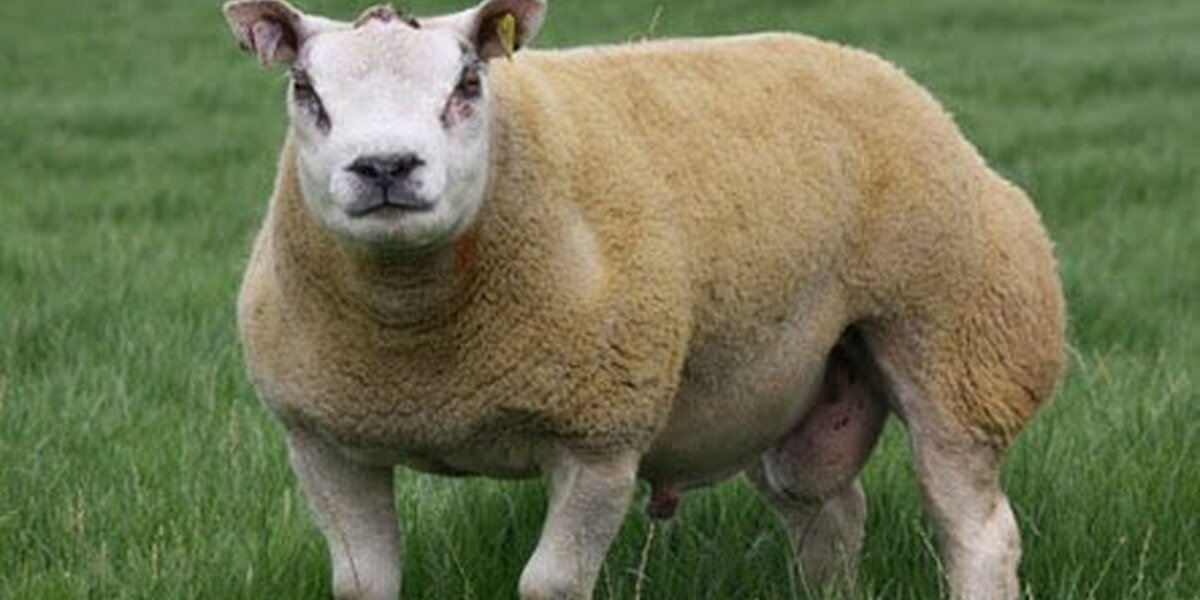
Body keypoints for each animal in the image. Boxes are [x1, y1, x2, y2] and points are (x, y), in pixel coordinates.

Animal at [221, 0, 1066, 598]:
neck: (417, 336)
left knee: (978, 530)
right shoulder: (323, 443)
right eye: (305, 90)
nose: (386, 167)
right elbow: (363, 582)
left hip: (956, 342)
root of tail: (877, 70)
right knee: (827, 515)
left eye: (467, 85)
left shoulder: (599, 437)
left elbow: (551, 584)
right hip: (782, 388)